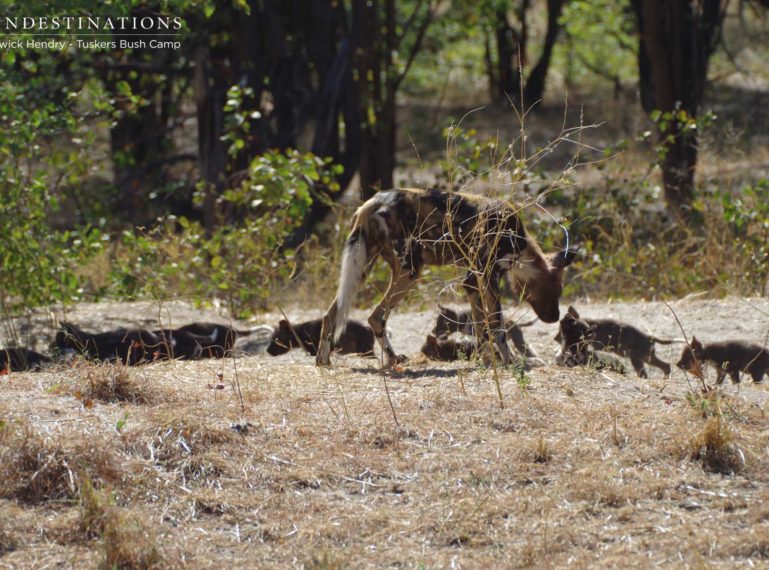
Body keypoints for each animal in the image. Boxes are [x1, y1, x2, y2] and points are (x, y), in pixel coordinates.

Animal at [316, 186, 572, 364]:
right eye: (555, 292)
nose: (555, 318)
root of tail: (372, 203)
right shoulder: (484, 277)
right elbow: (497, 327)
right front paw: (510, 362)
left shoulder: (473, 283)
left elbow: (481, 329)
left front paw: (486, 361)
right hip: (409, 273)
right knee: (375, 317)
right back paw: (392, 359)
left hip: (362, 269)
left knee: (332, 315)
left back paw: (325, 361)